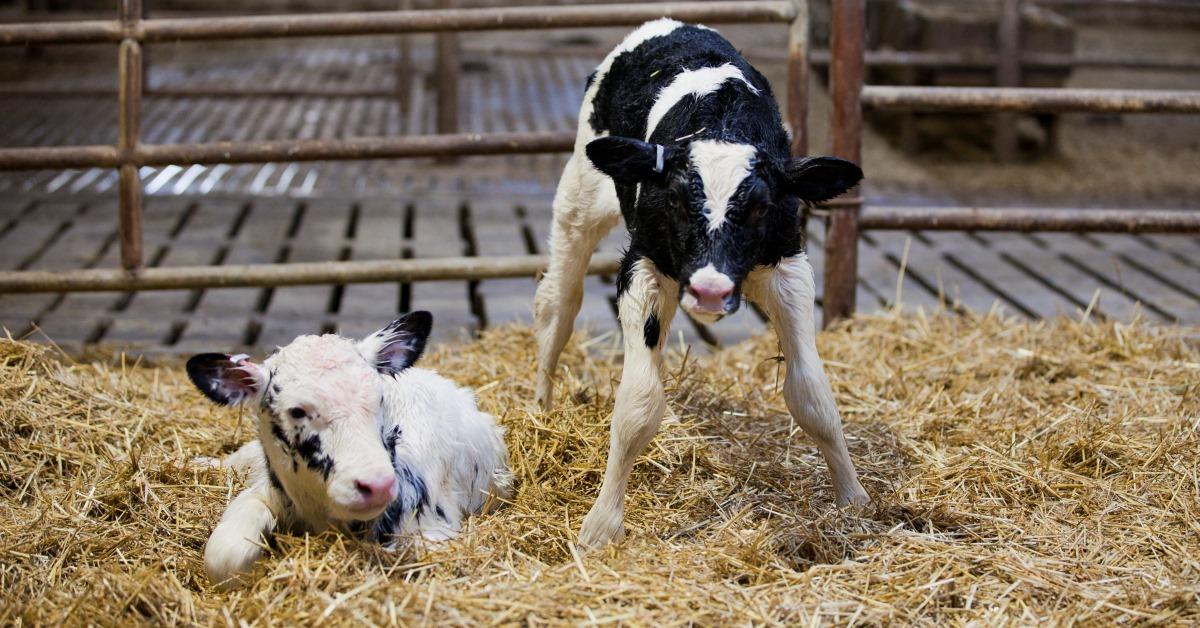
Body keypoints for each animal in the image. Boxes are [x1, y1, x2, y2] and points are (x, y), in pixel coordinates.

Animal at [186, 312, 511, 590]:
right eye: (297, 411)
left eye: (380, 398)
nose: (378, 485)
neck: (320, 515)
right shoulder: (264, 492)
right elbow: (224, 556)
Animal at [537, 18, 873, 549]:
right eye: (675, 200)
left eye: (759, 207)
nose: (711, 290)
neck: (722, 121)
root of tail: (668, 24)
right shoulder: (642, 269)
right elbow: (637, 406)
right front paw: (601, 524)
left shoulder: (789, 269)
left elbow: (813, 396)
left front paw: (853, 498)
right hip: (579, 197)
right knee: (559, 303)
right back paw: (541, 411)